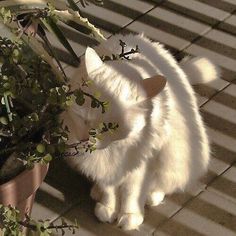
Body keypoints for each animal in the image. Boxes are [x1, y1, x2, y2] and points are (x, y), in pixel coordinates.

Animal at [62, 34, 219, 230]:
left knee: (161, 185)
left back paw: (152, 197)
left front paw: (130, 216)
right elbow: (108, 189)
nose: (85, 138)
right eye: (83, 117)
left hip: (176, 157)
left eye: (109, 127)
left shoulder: (142, 166)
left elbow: (132, 193)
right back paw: (96, 191)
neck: (116, 148)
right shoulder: (105, 167)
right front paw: (108, 207)